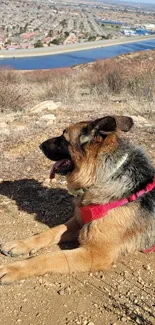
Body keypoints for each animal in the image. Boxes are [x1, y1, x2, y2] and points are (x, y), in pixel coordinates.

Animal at [0, 115, 155, 282]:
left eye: (64, 139)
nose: (40, 146)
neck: (100, 177)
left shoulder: (94, 254)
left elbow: (49, 257)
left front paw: (13, 268)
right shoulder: (77, 222)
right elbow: (50, 232)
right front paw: (19, 244)